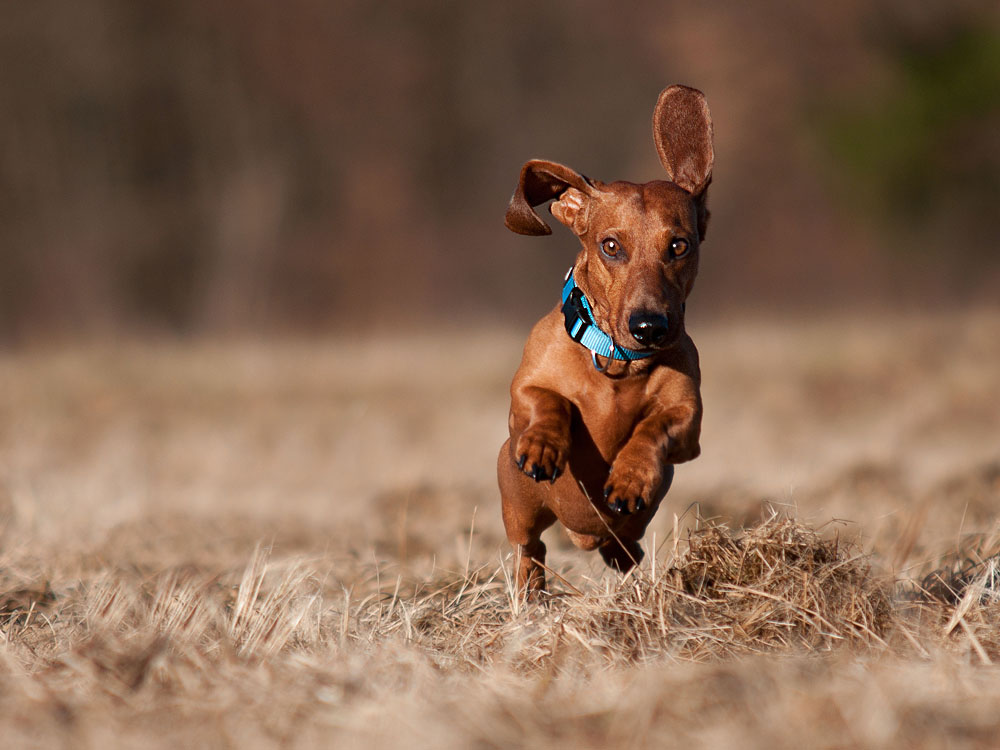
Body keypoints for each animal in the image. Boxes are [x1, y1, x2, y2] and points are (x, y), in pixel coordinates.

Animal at [496, 85, 716, 592]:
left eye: (679, 245)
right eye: (611, 246)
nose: (649, 326)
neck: (618, 363)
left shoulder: (688, 421)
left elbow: (653, 427)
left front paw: (631, 478)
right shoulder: (525, 391)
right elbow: (550, 402)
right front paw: (544, 445)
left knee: (623, 548)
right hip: (517, 507)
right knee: (530, 549)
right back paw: (530, 590)